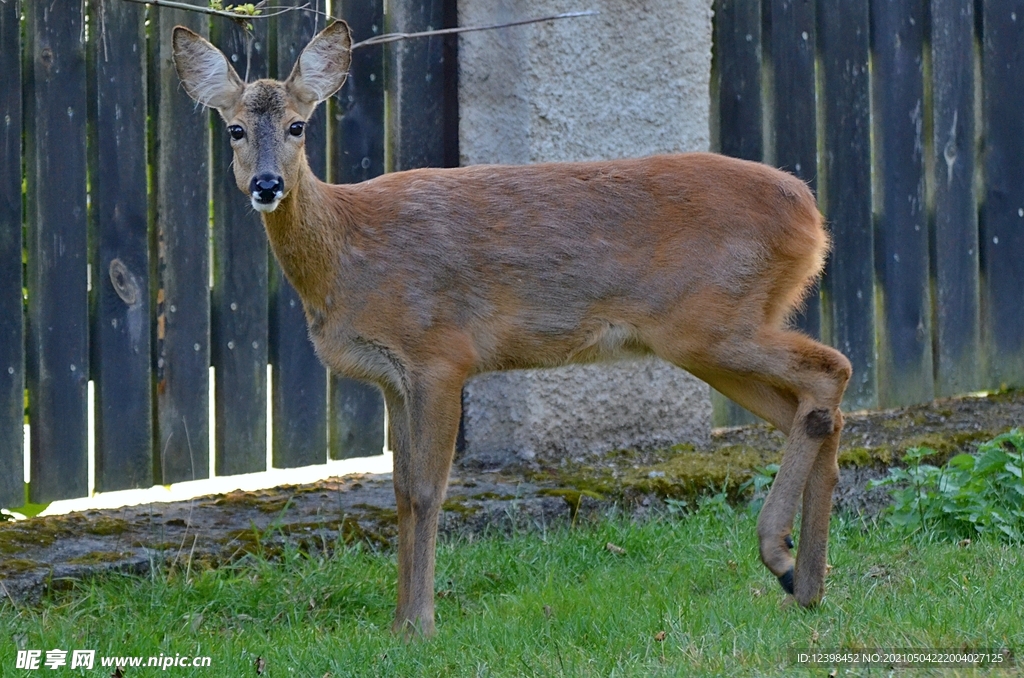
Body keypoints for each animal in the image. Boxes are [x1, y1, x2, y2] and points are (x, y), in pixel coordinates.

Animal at [172, 21, 851, 639]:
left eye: (298, 126)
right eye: (234, 129)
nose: (267, 185)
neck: (349, 251)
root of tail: (812, 218)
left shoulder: (440, 354)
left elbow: (427, 490)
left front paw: (419, 625)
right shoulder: (391, 379)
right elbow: (399, 492)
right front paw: (398, 623)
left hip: (714, 322)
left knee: (831, 369)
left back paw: (781, 556)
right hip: (712, 335)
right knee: (811, 407)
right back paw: (806, 584)